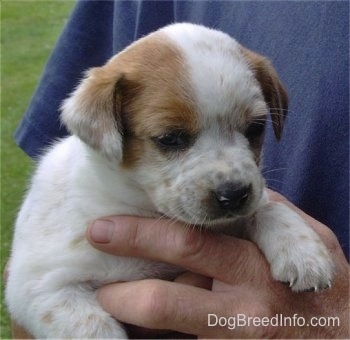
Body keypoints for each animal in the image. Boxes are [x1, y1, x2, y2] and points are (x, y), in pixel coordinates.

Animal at [4, 23, 334, 338]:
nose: (234, 194)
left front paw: (305, 253)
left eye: (255, 127)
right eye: (170, 138)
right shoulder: (40, 285)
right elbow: (92, 328)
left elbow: (270, 207)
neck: (139, 206)